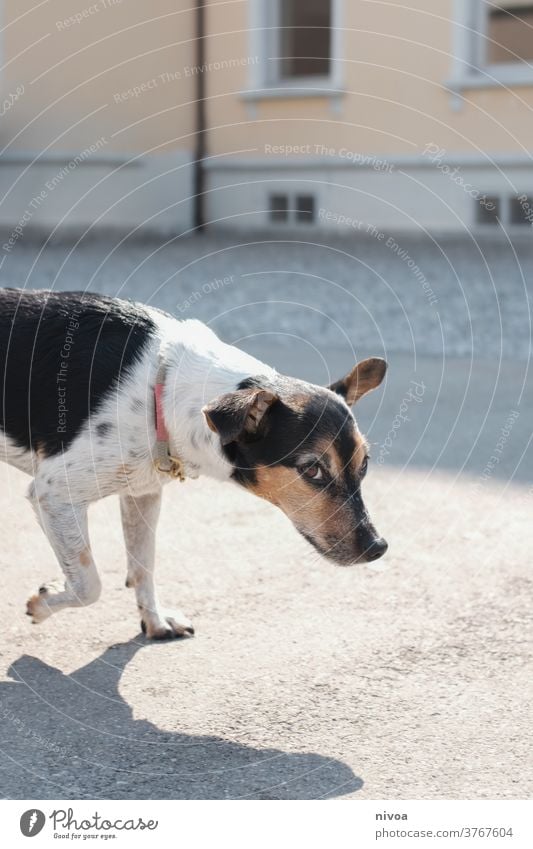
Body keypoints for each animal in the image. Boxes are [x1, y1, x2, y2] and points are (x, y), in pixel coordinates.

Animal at [0, 288, 384, 640]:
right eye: (312, 469)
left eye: (364, 465)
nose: (378, 547)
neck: (162, 388)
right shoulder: (54, 494)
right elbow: (89, 584)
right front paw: (43, 603)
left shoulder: (142, 492)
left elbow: (143, 565)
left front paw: (154, 620)